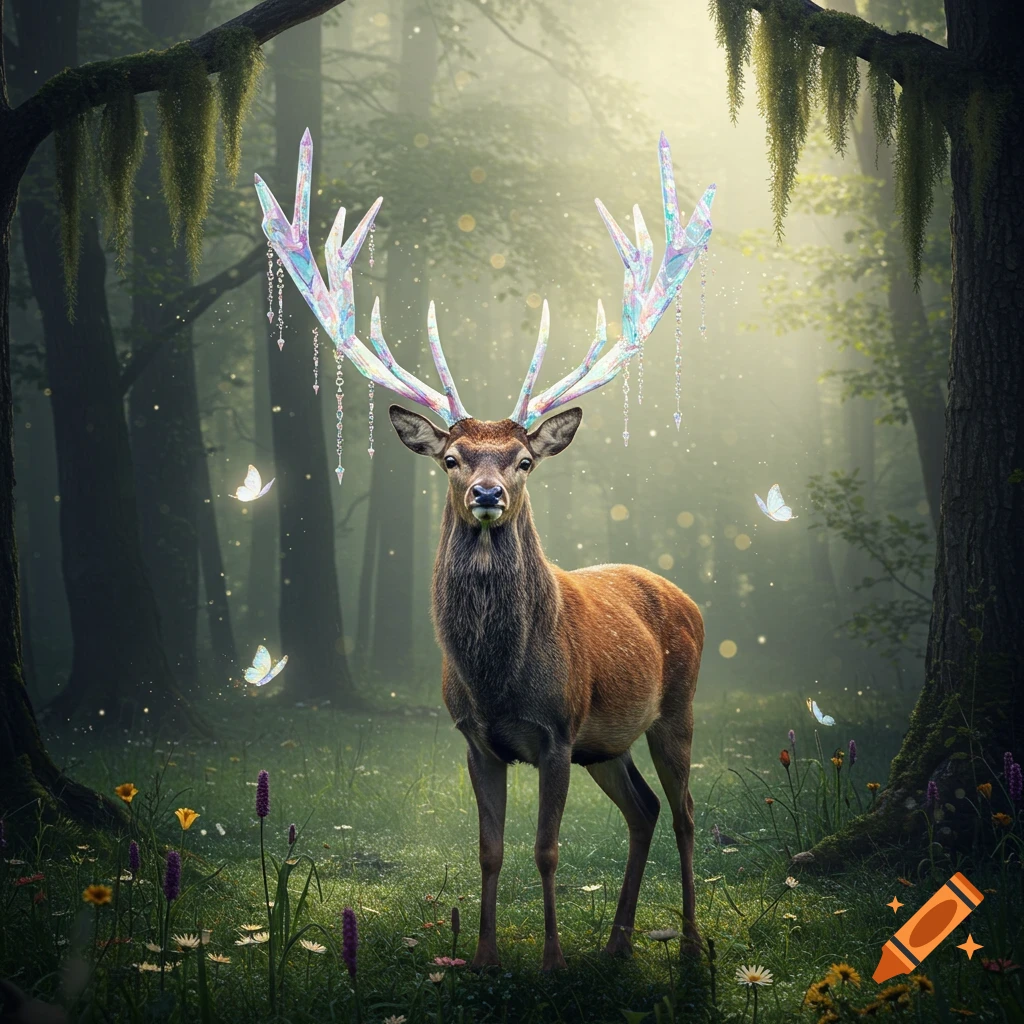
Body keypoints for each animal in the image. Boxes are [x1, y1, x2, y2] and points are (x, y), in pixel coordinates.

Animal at [256, 130, 715, 971]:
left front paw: (552, 961)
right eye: (451, 457)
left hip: (677, 706)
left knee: (687, 811)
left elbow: (547, 851)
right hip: (609, 743)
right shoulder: (478, 740)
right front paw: (485, 957)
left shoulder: (559, 733)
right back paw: (618, 944)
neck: (500, 677)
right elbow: (490, 850)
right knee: (643, 810)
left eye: (525, 458)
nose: (488, 494)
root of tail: (686, 594)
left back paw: (690, 943)